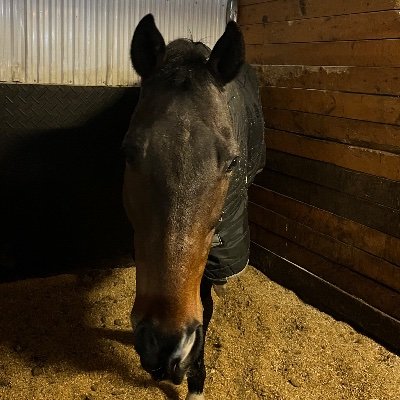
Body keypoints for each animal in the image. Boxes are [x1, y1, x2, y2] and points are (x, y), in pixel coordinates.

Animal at [122, 14, 266, 398]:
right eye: (128, 152)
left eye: (232, 162)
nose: (163, 344)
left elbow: (207, 306)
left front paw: (195, 380)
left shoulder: (219, 253)